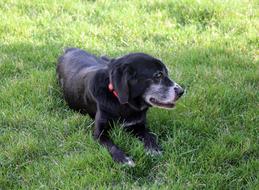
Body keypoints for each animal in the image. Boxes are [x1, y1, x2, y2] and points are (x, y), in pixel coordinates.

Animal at [57, 48, 185, 166]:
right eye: (158, 75)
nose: (182, 91)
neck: (122, 102)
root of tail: (69, 49)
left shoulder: (139, 125)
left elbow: (149, 137)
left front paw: (154, 150)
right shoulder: (99, 134)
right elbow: (111, 146)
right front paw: (123, 159)